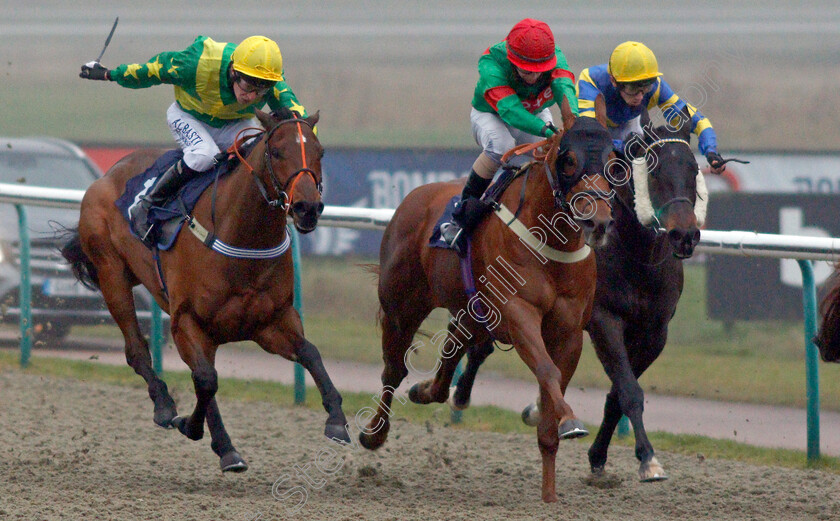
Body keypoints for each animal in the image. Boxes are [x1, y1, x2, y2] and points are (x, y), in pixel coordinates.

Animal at [59, 109, 348, 472]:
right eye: (278, 151)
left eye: (320, 152)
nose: (307, 208)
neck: (242, 237)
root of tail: (106, 175)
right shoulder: (187, 322)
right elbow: (206, 380)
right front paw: (194, 428)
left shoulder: (270, 322)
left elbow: (310, 353)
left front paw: (336, 419)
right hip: (112, 275)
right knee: (139, 351)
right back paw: (167, 407)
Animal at [360, 116, 616, 502]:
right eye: (569, 161)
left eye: (615, 161)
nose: (597, 222)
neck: (551, 242)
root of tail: (415, 196)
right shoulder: (518, 312)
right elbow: (547, 370)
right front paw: (571, 420)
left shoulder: (569, 332)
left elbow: (552, 387)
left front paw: (550, 494)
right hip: (401, 307)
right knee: (393, 371)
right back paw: (374, 433)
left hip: (472, 311)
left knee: (452, 349)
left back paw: (426, 391)